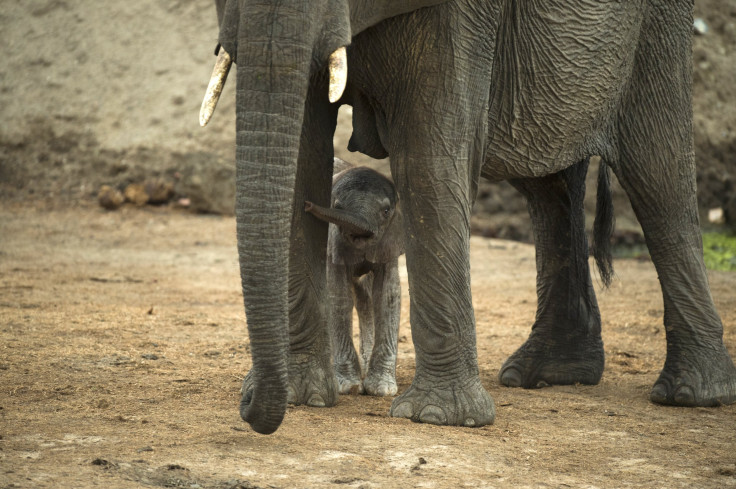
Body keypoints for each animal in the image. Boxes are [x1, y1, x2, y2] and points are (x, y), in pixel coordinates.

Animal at [308, 160, 406, 396]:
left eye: (386, 211)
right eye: (337, 206)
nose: (307, 205)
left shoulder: (390, 239)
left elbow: (387, 295)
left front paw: (382, 389)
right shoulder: (333, 241)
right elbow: (338, 295)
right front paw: (348, 386)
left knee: (365, 295)